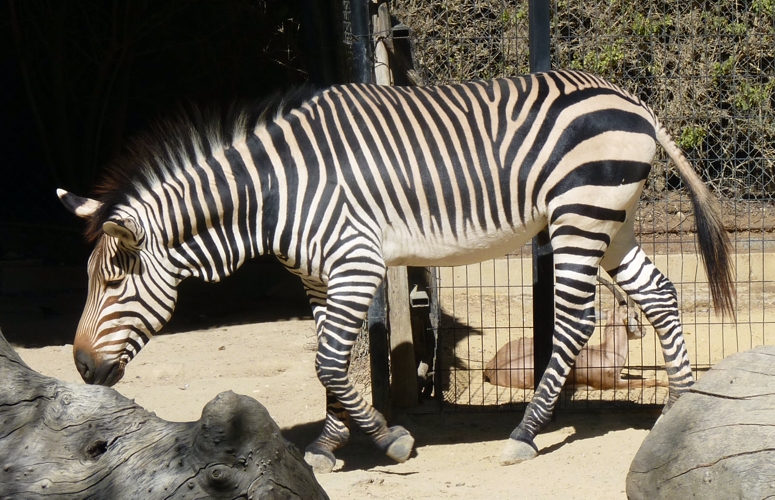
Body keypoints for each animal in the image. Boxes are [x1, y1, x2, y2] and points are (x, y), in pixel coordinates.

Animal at [58, 70, 735, 472]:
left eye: (113, 283)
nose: (83, 368)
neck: (274, 194)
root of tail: (629, 98)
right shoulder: (320, 277)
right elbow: (332, 361)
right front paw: (328, 447)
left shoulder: (356, 263)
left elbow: (330, 361)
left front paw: (388, 440)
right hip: (613, 220)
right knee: (661, 292)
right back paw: (680, 407)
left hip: (581, 214)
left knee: (573, 322)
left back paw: (525, 432)